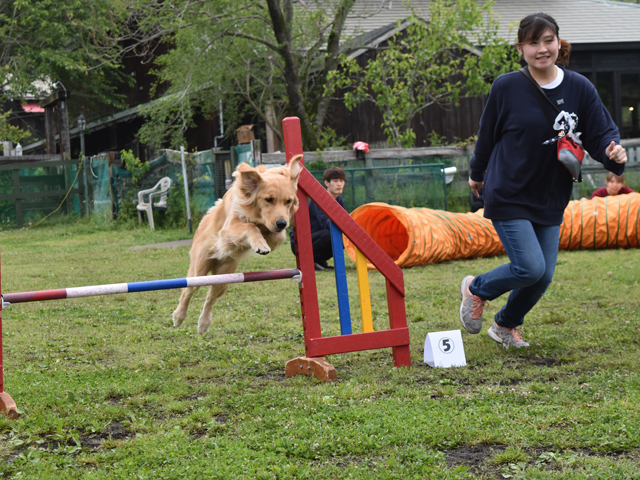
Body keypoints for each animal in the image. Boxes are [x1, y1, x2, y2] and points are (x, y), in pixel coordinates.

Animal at [172, 157, 302, 334]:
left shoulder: (276, 232)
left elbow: (275, 236)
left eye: (288, 201)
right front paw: (260, 242)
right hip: (199, 269)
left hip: (224, 275)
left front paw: (262, 241)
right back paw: (179, 317)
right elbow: (250, 226)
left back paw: (204, 323)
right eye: (269, 199)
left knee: (211, 297)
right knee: (188, 290)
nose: (282, 223)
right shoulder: (229, 227)